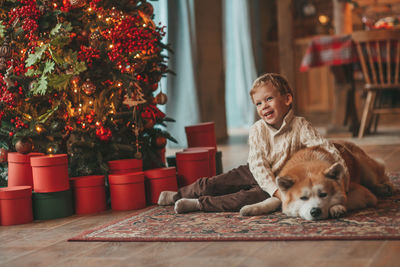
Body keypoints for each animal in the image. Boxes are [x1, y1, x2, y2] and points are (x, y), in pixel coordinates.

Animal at [241, 141, 394, 221]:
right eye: (303, 198)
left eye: (323, 195)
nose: (315, 211)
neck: (309, 164)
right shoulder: (282, 194)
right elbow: (273, 200)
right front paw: (253, 207)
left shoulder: (364, 194)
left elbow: (346, 199)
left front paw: (337, 207)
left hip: (365, 168)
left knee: (379, 178)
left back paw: (385, 187)